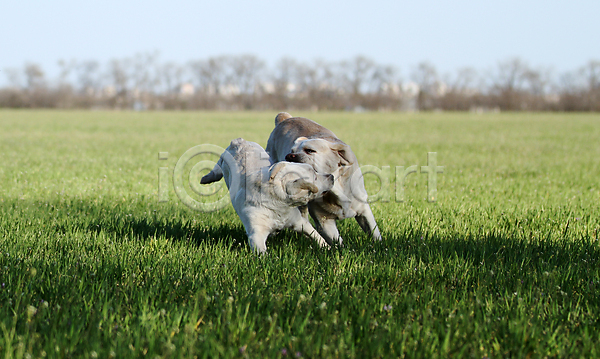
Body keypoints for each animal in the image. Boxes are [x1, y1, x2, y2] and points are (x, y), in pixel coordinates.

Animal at [200, 138, 332, 253]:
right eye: (315, 176)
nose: (331, 176)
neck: (278, 203)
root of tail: (238, 141)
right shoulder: (256, 234)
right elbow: (261, 251)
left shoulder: (299, 222)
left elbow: (316, 235)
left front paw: (328, 248)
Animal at [266, 114, 382, 246]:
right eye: (291, 151)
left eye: (310, 151)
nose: (289, 156)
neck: (335, 189)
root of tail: (286, 118)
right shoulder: (324, 221)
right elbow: (337, 241)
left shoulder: (364, 210)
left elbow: (374, 232)